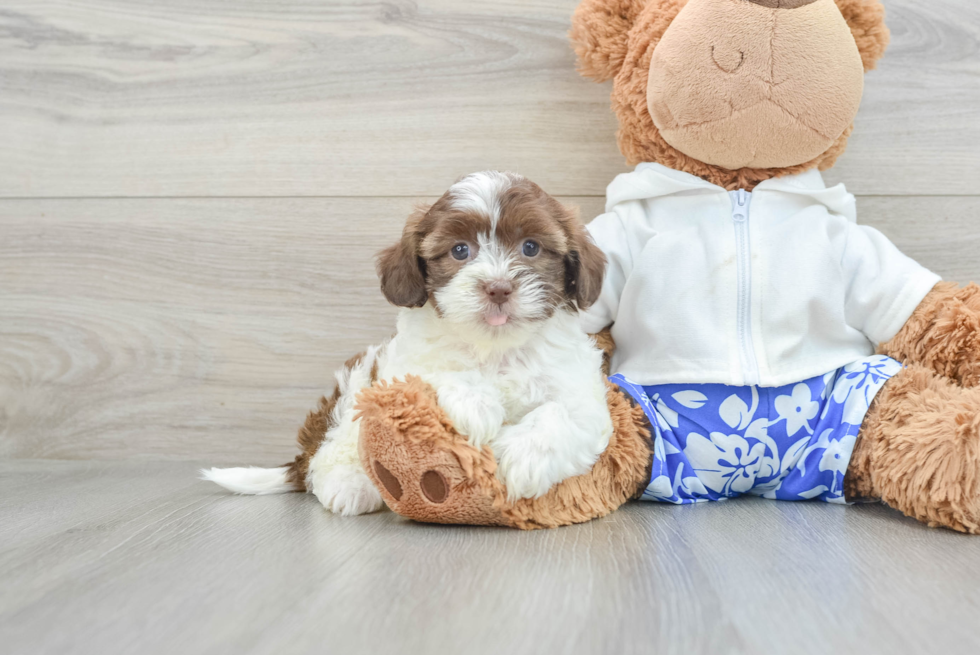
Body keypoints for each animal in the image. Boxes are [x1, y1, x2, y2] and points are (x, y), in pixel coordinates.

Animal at [205, 173, 612, 516]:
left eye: (531, 247)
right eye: (460, 251)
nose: (498, 287)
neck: (494, 347)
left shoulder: (581, 392)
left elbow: (563, 413)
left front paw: (524, 458)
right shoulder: (400, 367)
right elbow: (435, 373)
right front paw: (475, 404)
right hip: (356, 385)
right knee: (331, 452)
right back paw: (351, 484)